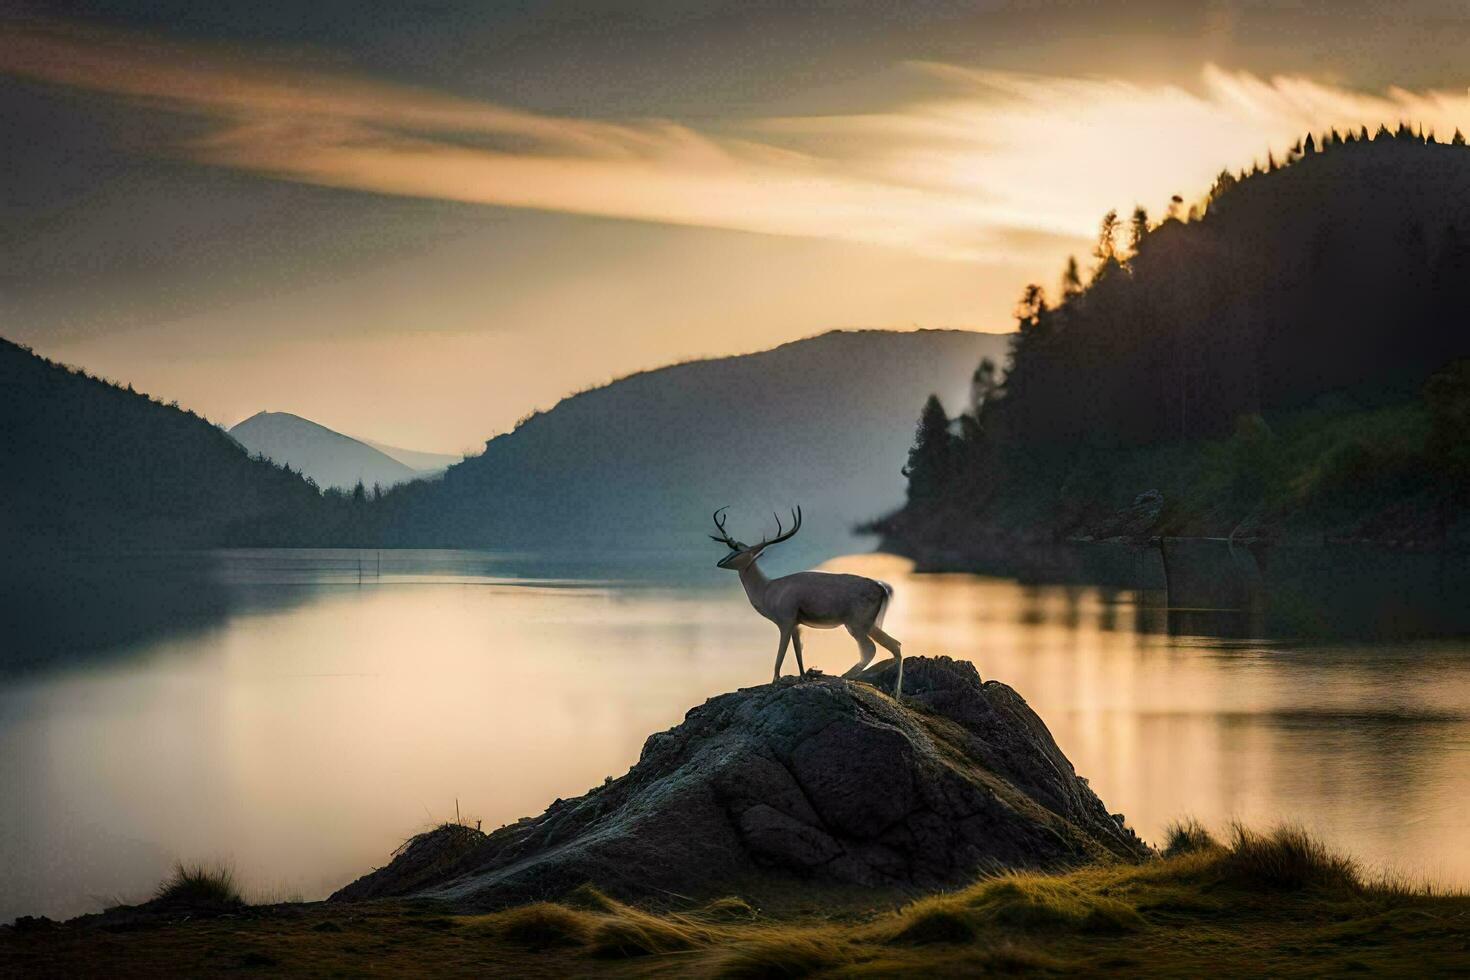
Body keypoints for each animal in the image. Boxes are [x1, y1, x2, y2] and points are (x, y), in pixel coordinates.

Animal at [708, 505, 899, 696]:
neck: (768, 588)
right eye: (732, 549)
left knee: (871, 649)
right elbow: (798, 653)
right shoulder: (797, 625)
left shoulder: (785, 622)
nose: (719, 562)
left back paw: (844, 676)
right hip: (869, 625)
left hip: (856, 625)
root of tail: (881, 587)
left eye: (739, 551)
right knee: (895, 645)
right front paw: (803, 677)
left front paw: (775, 681)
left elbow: (780, 655)